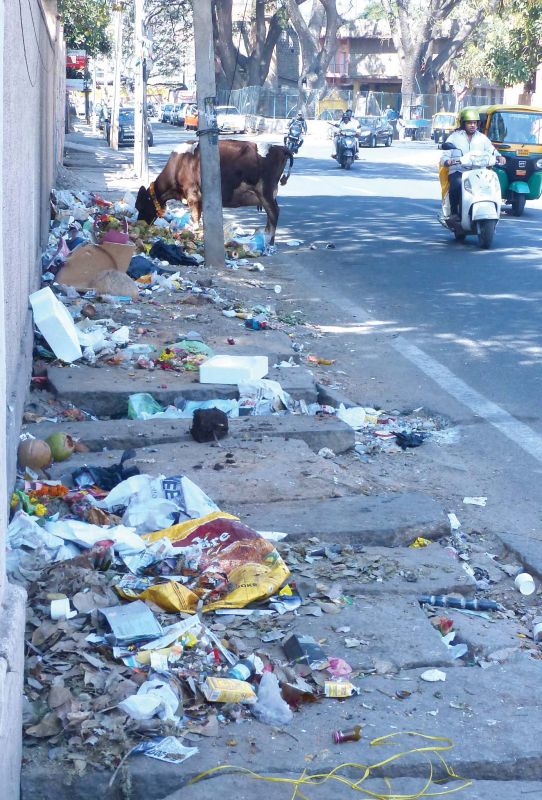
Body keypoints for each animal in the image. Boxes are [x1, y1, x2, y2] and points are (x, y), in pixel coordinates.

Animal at [138, 139, 296, 244]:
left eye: (140, 206)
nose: (140, 223)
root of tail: (279, 148)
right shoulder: (199, 199)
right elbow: (199, 218)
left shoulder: (192, 195)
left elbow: (195, 219)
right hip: (268, 194)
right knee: (272, 214)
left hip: (265, 191)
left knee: (274, 213)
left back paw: (268, 239)